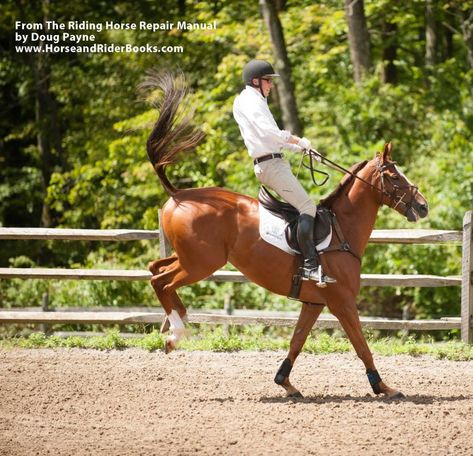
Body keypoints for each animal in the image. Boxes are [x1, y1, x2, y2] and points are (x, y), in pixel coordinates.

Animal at [145, 72, 428, 400]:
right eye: (394, 176)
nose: (423, 206)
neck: (342, 229)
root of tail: (179, 196)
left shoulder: (314, 303)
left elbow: (297, 341)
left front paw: (286, 383)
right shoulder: (342, 302)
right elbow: (362, 346)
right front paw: (382, 386)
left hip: (190, 258)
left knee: (156, 268)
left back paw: (176, 320)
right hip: (201, 264)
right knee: (161, 281)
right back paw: (176, 332)